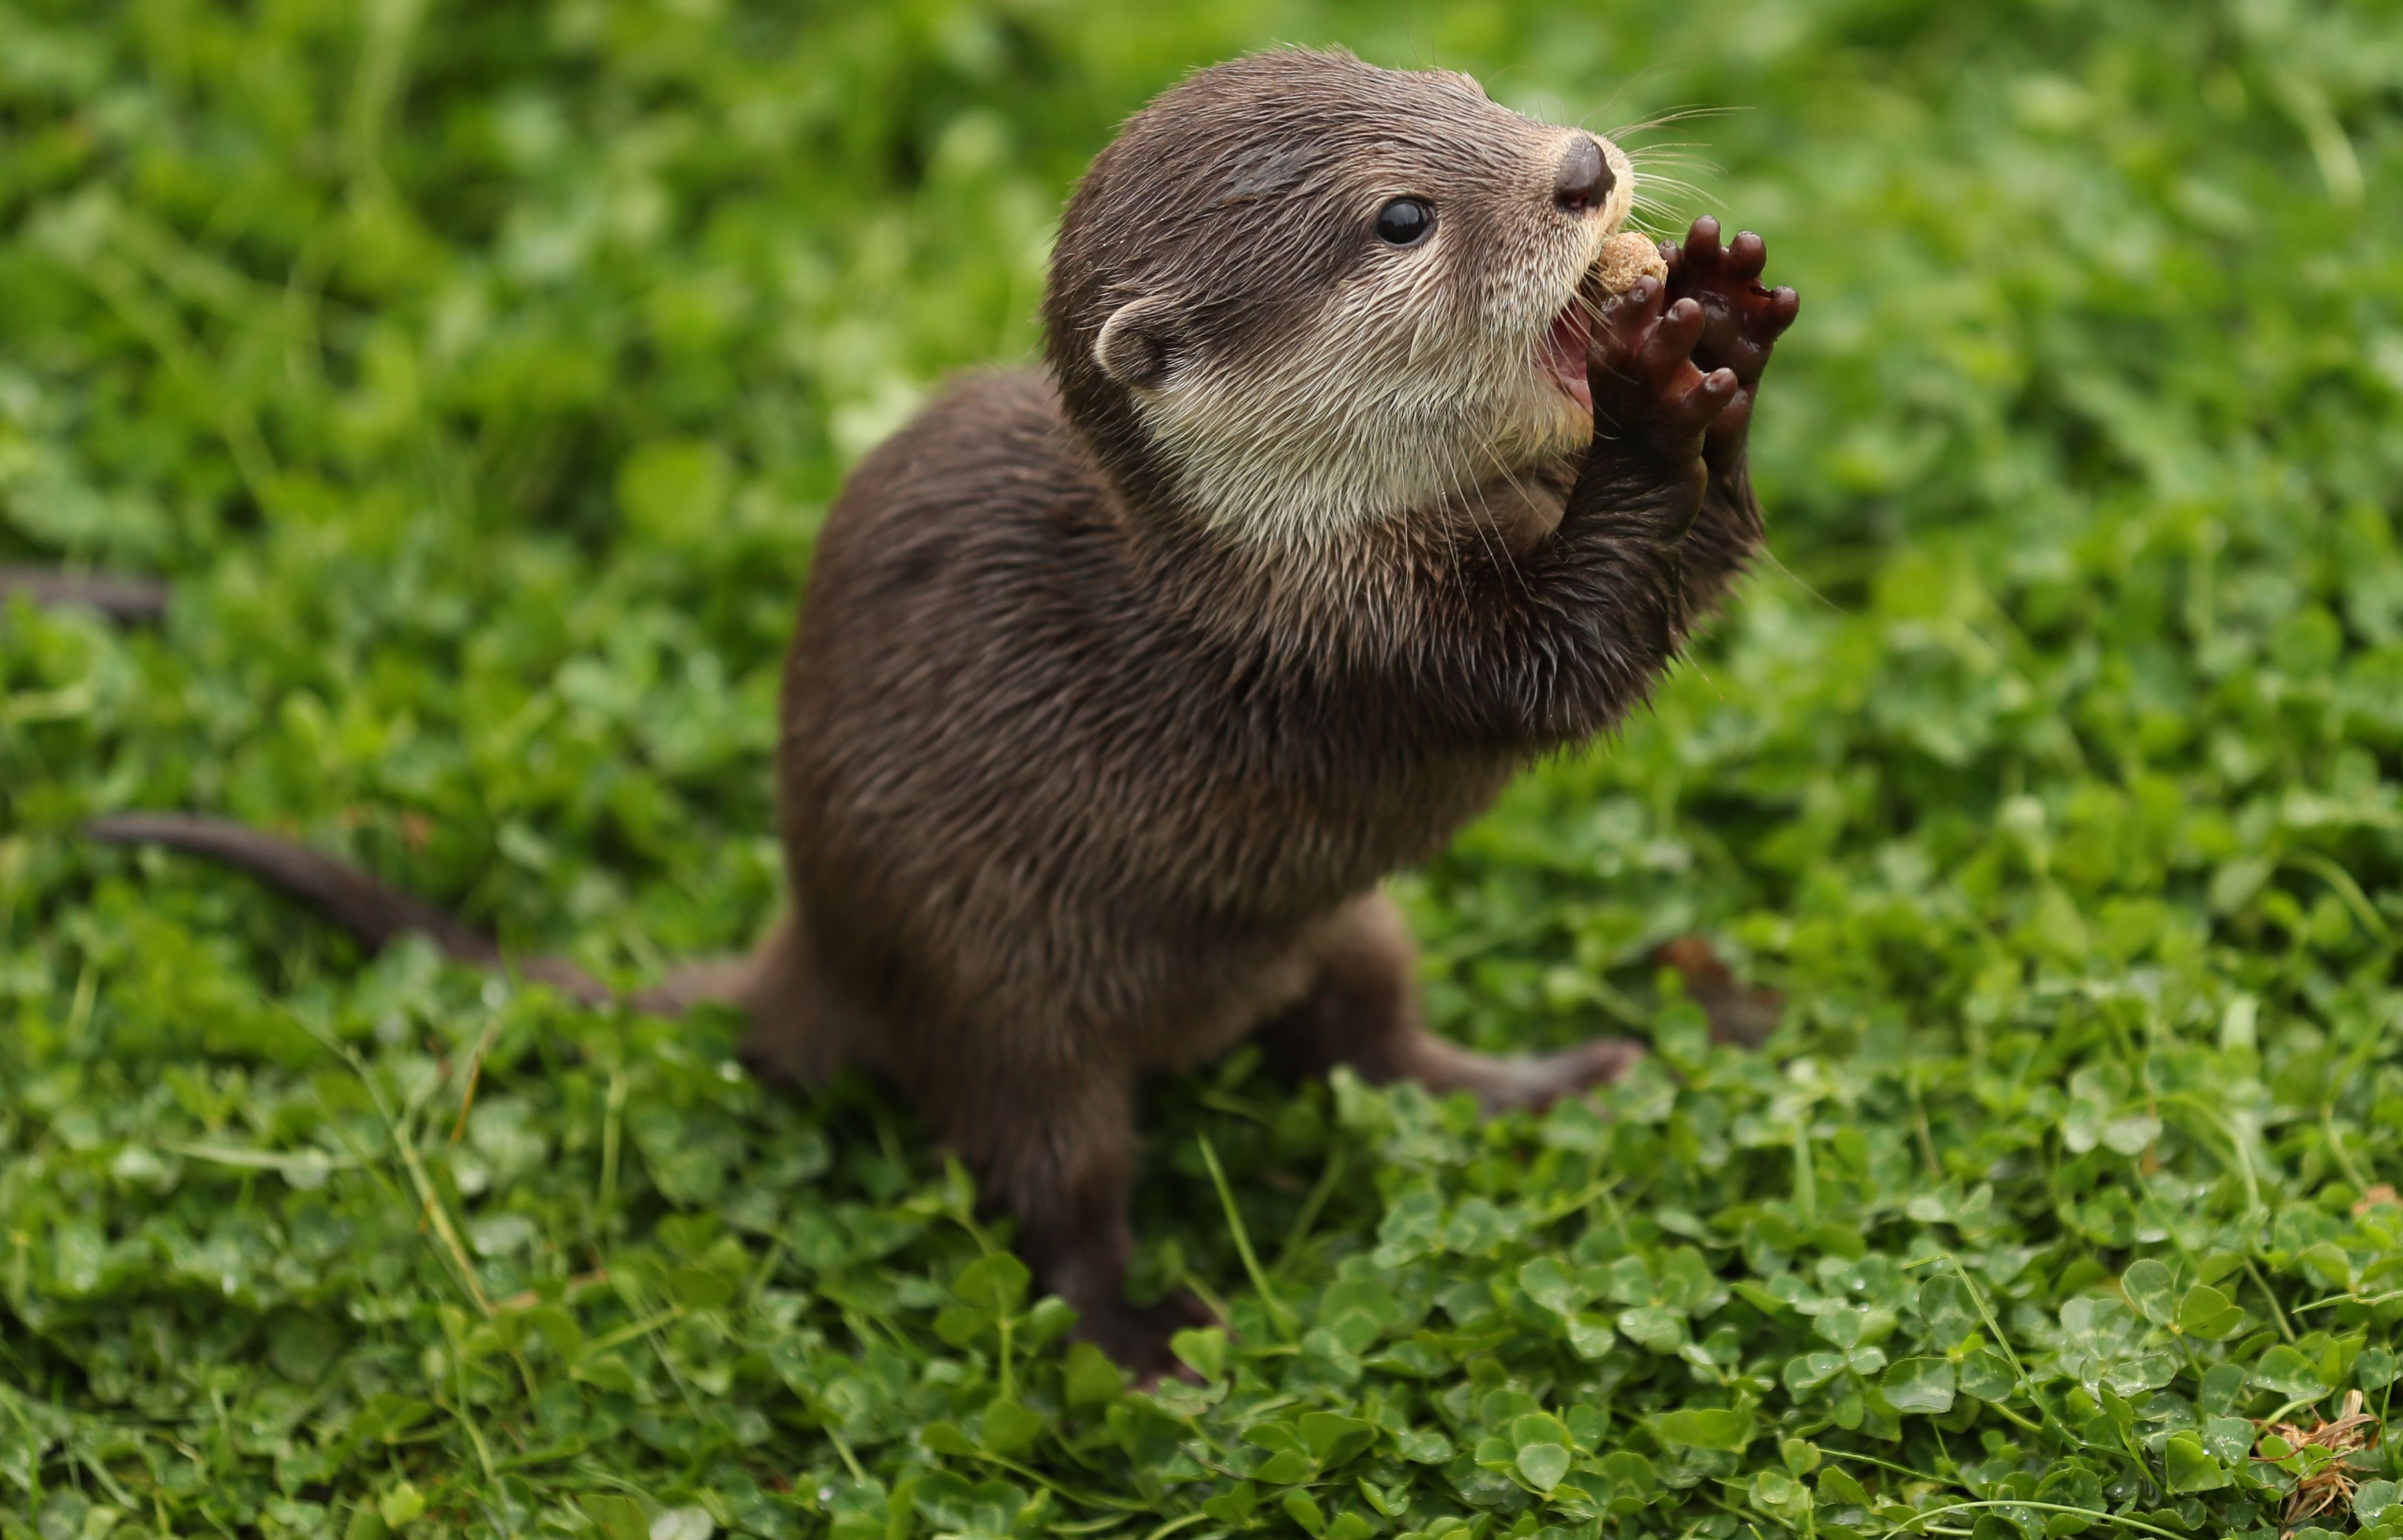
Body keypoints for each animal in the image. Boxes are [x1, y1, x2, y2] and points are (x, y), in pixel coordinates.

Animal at [84, 47, 1797, 1374]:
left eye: (1464, 91)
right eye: (1399, 217)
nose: (1579, 166)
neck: (1282, 551)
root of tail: (820, 950)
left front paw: (1722, 315)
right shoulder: (1353, 646)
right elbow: (1572, 658)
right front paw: (1658, 386)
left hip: (1342, 923)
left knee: (1375, 1046)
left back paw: (1558, 1078)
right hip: (1004, 1007)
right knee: (1056, 1209)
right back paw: (1151, 1343)